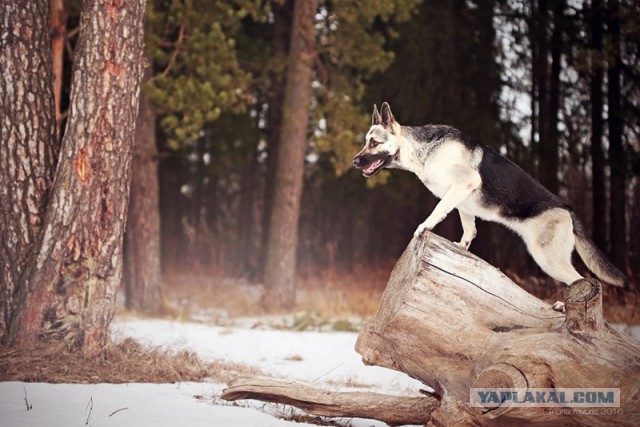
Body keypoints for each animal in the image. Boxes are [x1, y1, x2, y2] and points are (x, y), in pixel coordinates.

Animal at [352, 103, 628, 290]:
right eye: (366, 142)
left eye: (374, 143)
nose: (354, 162)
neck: (423, 151)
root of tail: (567, 207)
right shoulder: (462, 201)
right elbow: (469, 230)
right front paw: (460, 249)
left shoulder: (463, 185)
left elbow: (438, 211)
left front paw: (424, 227)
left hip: (548, 260)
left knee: (584, 281)